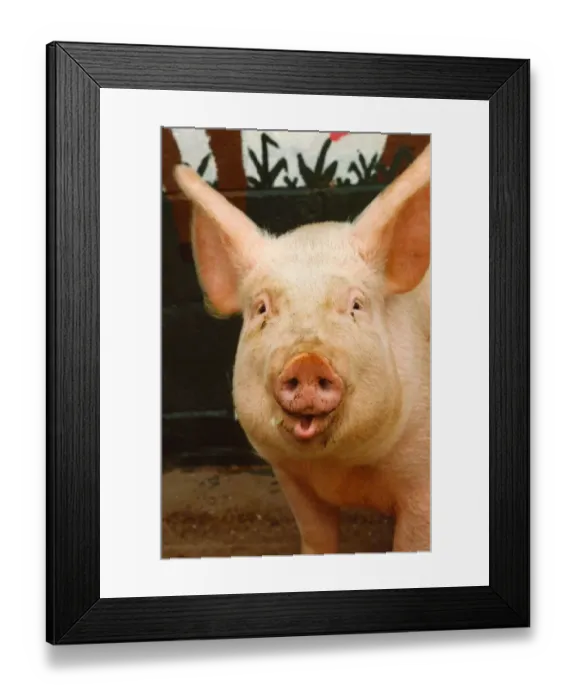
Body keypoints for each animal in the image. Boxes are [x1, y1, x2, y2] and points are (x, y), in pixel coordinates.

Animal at [173, 143, 431, 555]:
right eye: (262, 308)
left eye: (356, 305)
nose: (308, 361)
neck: (337, 468)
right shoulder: (291, 478)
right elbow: (315, 535)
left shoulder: (421, 481)